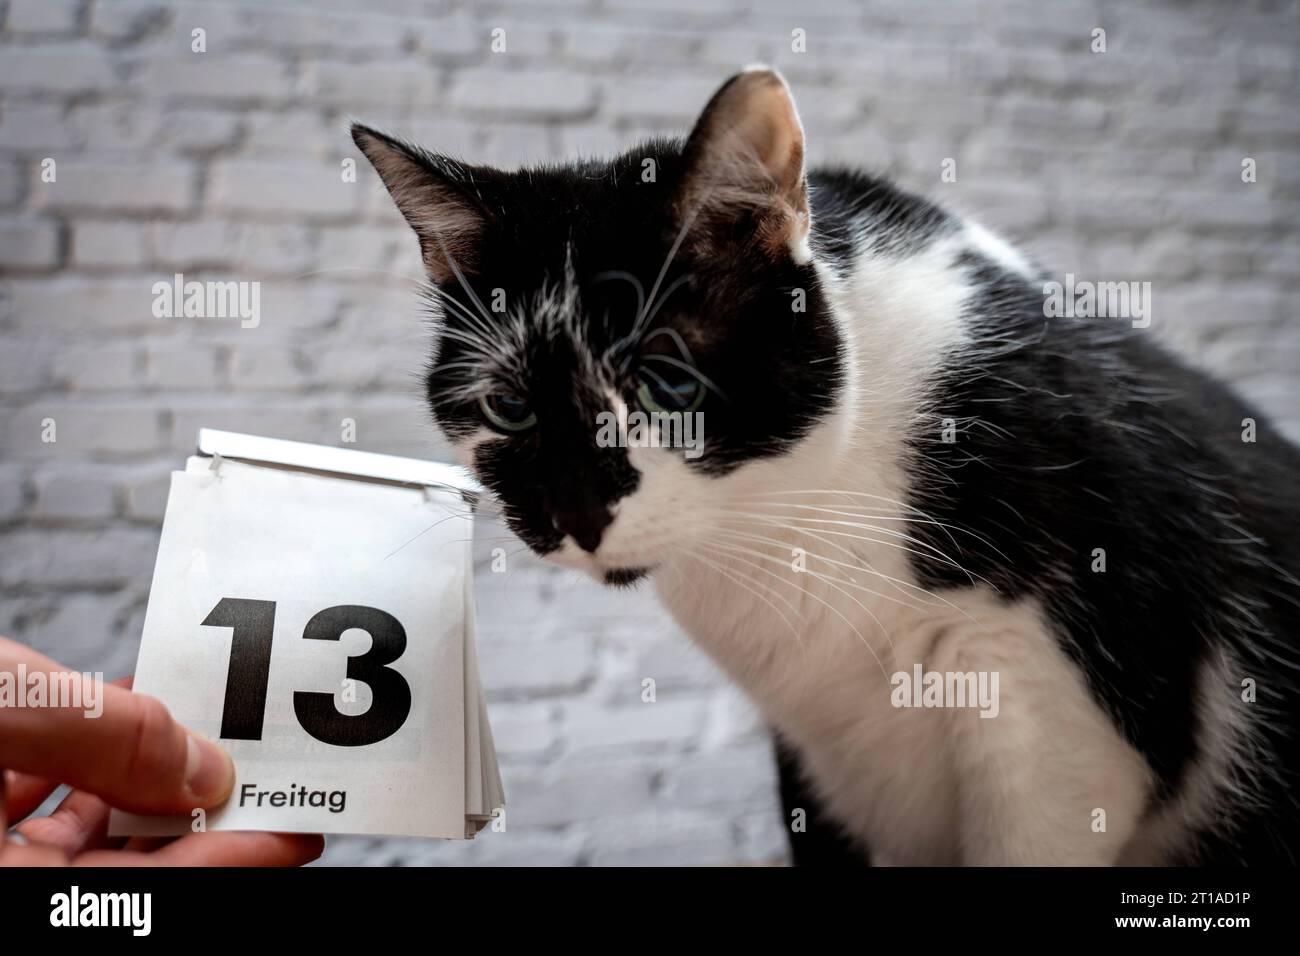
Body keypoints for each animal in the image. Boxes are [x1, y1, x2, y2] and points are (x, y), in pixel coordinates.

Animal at [356, 63, 1300, 863]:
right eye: (508, 408)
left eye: (668, 385)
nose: (576, 514)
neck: (790, 523)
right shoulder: (816, 760)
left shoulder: (1055, 722)